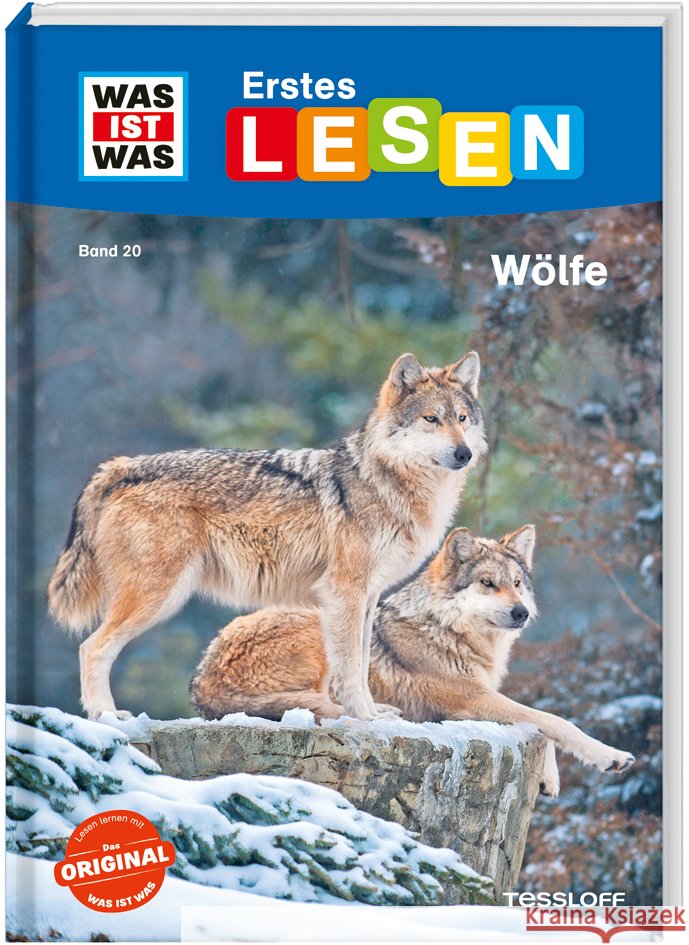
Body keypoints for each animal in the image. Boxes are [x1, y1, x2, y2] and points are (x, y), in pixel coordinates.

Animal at [48, 351, 486, 722]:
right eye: (431, 419)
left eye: (462, 418)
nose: (464, 454)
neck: (390, 484)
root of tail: (122, 466)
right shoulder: (345, 591)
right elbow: (349, 669)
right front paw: (364, 717)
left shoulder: (368, 596)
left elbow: (362, 664)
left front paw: (373, 712)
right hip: (159, 596)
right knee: (91, 648)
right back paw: (106, 715)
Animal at [191, 524, 635, 796]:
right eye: (487, 583)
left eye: (517, 583)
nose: (521, 613)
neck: (449, 631)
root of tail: (202, 682)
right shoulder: (471, 700)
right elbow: (553, 721)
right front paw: (611, 756)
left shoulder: (480, 699)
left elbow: (540, 723)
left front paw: (549, 778)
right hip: (323, 629)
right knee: (331, 707)